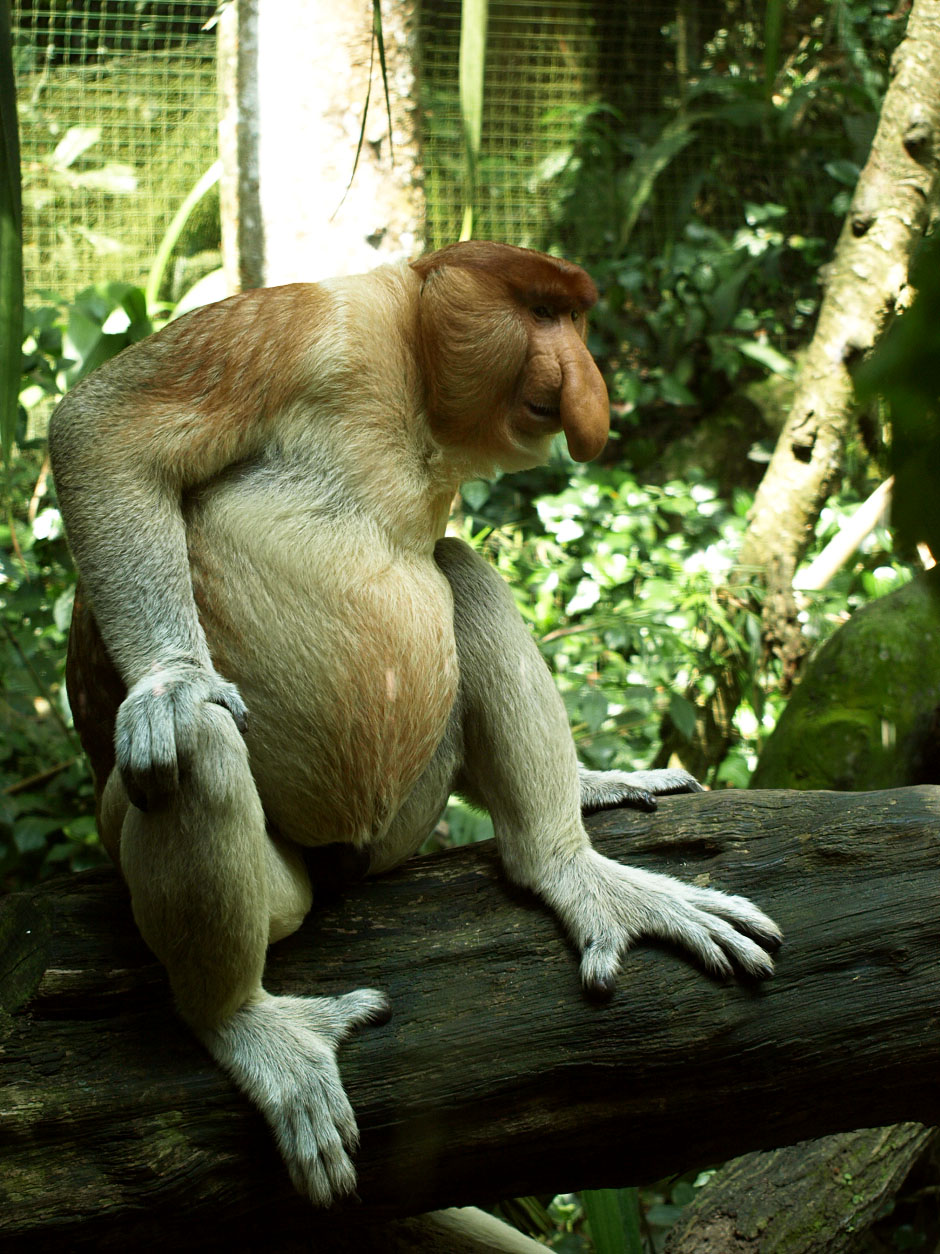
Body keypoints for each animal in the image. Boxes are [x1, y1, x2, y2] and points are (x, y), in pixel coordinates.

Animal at [49, 241, 781, 1207]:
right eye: (543, 310)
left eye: (575, 317)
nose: (588, 389)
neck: (414, 380)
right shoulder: (311, 324)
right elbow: (103, 427)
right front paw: (171, 682)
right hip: (278, 872)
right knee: (196, 749)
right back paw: (247, 1022)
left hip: (405, 815)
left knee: (462, 572)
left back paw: (572, 865)